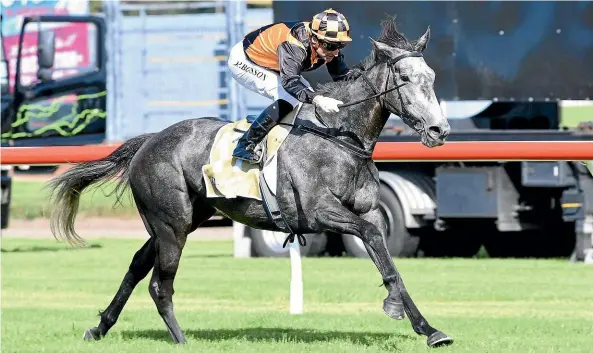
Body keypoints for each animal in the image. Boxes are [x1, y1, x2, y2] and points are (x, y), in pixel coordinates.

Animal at [47, 17, 448, 346]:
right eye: (406, 79)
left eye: (431, 78)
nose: (439, 130)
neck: (338, 135)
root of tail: (149, 140)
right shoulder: (320, 212)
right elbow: (372, 238)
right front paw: (398, 308)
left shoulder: (369, 211)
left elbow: (385, 255)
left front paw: (428, 328)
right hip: (171, 224)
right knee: (160, 283)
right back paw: (180, 339)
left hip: (179, 220)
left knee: (136, 266)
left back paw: (100, 327)